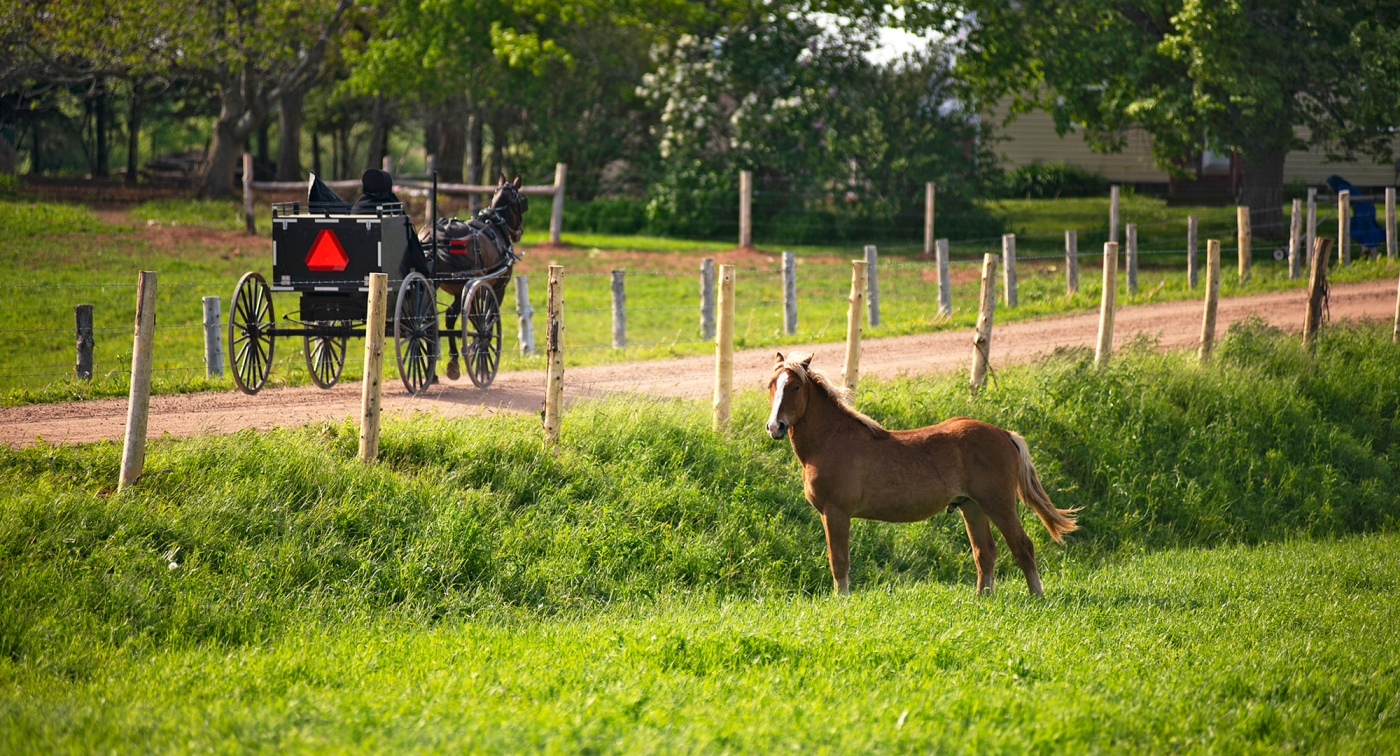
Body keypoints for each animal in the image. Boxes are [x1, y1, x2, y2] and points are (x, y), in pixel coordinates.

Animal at [767, 354, 1080, 596]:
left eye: (795, 387)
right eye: (771, 385)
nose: (775, 427)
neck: (831, 439)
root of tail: (1006, 434)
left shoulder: (836, 512)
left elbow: (839, 560)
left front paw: (842, 600)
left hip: (999, 505)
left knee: (1022, 547)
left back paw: (1037, 596)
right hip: (972, 507)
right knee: (986, 552)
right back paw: (982, 598)